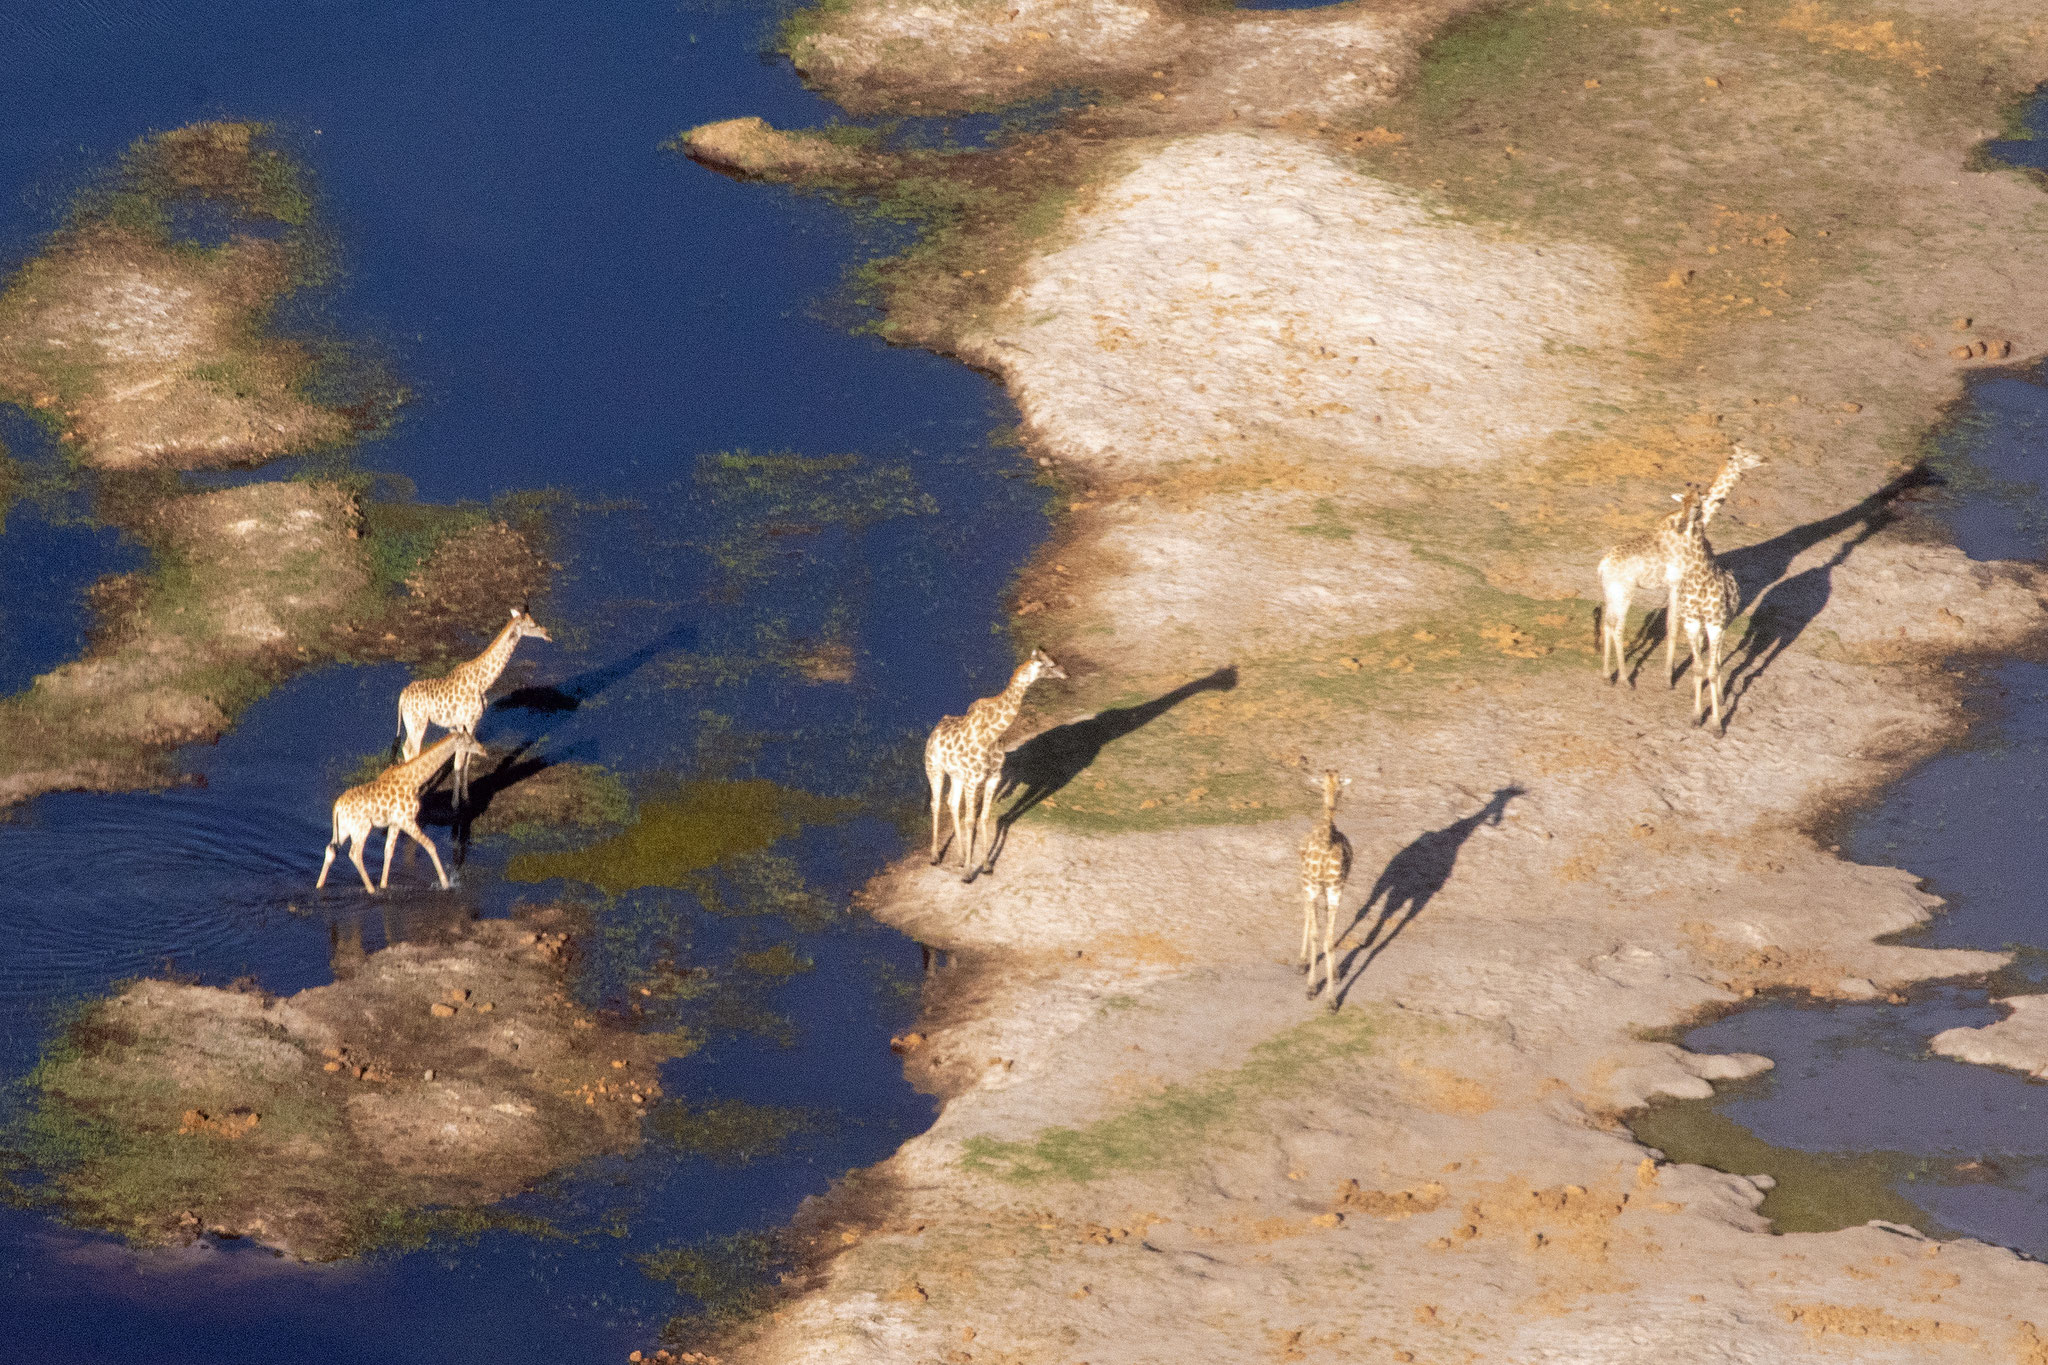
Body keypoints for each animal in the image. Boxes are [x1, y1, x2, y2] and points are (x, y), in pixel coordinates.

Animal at [317, 736, 489, 896]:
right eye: (470, 741)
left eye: (473, 739)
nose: (484, 751)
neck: (414, 779)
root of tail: (337, 806)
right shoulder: (407, 820)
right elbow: (430, 845)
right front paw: (446, 884)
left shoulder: (395, 823)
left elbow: (388, 851)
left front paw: (384, 885)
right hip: (362, 827)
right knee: (355, 854)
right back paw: (371, 890)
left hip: (344, 828)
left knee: (331, 850)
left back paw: (319, 885)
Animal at [391, 601, 548, 806]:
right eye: (532, 624)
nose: (547, 633)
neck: (483, 681)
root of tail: (402, 696)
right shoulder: (465, 722)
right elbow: (459, 760)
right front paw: (455, 803)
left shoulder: (472, 723)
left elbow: (466, 759)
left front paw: (466, 797)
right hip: (418, 724)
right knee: (412, 750)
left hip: (411, 723)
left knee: (408, 749)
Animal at [921, 650, 1064, 888]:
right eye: (1049, 665)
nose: (1065, 673)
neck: (993, 733)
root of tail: (934, 731)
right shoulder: (973, 780)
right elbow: (971, 820)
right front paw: (968, 874)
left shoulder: (993, 778)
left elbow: (985, 817)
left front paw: (986, 866)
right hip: (934, 768)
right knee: (936, 803)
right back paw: (934, 856)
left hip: (957, 775)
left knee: (952, 802)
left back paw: (960, 857)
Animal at [1294, 769, 1359, 1015]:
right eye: (1322, 787)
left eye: (1339, 789)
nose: (1331, 806)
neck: (1325, 843)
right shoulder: (1312, 885)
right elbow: (1315, 935)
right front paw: (1312, 988)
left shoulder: (1335, 888)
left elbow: (1329, 940)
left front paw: (1331, 1000)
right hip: (1305, 882)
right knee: (1307, 914)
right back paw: (1302, 963)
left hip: (1325, 888)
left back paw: (1334, 972)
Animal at [1597, 446, 1761, 683]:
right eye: (1746, 455)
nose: (1764, 459)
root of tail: (1602, 566)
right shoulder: (1677, 583)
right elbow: (1673, 627)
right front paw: (1668, 675)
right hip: (1624, 591)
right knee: (1616, 626)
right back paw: (1625, 678)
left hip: (1610, 592)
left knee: (1607, 623)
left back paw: (1606, 673)